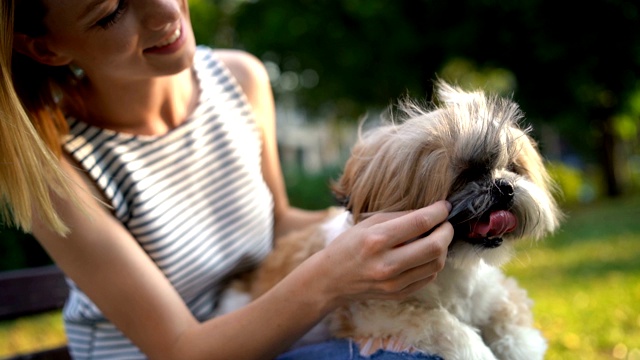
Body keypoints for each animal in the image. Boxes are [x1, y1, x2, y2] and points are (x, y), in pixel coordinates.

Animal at [248, 81, 564, 360]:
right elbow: (441, 323)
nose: (505, 186)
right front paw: (478, 351)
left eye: (513, 168)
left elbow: (508, 307)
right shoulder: (375, 310)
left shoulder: (491, 290)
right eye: (467, 175)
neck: (452, 268)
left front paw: (523, 345)